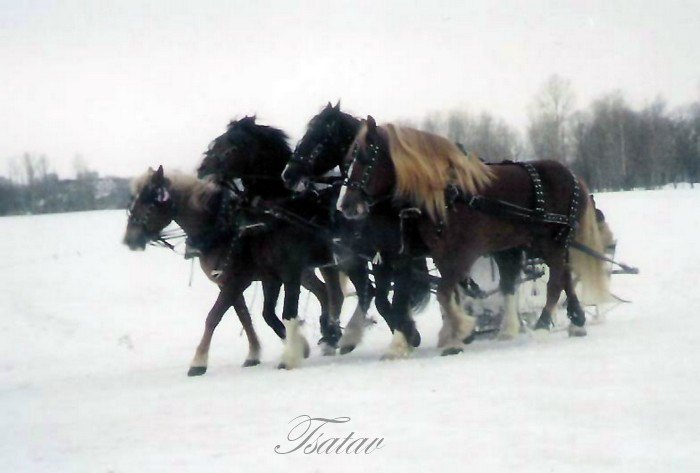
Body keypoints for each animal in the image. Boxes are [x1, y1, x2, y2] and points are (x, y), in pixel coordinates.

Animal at [125, 165, 340, 368]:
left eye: (150, 201)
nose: (129, 239)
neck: (221, 228)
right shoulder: (229, 281)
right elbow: (244, 316)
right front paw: (255, 353)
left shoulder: (240, 280)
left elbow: (214, 316)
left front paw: (198, 361)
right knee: (323, 291)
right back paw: (328, 334)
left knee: (328, 290)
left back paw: (331, 334)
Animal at [336, 116, 608, 356]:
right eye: (346, 159)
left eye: (365, 158)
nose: (345, 206)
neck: (448, 195)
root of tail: (571, 175)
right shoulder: (412, 256)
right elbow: (418, 297)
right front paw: (420, 339)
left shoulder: (459, 254)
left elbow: (444, 293)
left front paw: (458, 332)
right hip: (533, 244)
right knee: (555, 277)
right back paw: (567, 322)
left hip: (549, 243)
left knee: (555, 282)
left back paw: (542, 327)